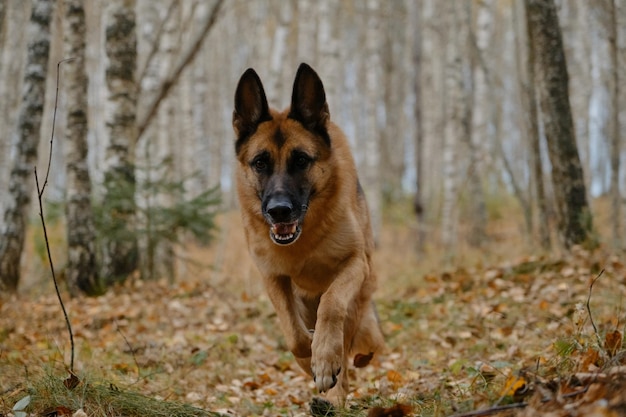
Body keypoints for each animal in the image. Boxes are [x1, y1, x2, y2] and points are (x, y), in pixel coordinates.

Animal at [232, 63, 382, 404]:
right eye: (260, 163)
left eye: (301, 160)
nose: (279, 210)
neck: (304, 241)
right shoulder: (273, 278)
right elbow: (293, 333)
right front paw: (309, 356)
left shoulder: (355, 263)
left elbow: (332, 304)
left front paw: (324, 358)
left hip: (359, 299)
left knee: (347, 343)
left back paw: (334, 394)